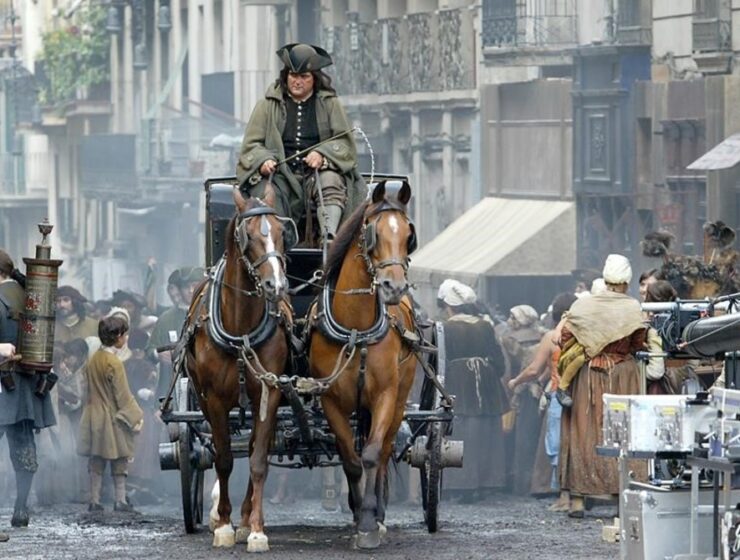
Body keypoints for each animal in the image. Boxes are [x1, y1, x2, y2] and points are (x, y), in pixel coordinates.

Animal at [181, 187, 294, 552]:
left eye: (281, 232)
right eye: (248, 237)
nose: (276, 286)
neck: (241, 327)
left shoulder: (269, 394)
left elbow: (258, 461)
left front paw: (254, 528)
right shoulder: (213, 399)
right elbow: (225, 459)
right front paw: (224, 524)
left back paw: (246, 518)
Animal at [308, 182, 422, 548]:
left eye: (408, 235)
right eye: (373, 233)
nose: (393, 286)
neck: (356, 328)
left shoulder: (385, 394)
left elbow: (371, 455)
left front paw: (371, 522)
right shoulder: (330, 400)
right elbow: (351, 459)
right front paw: (359, 514)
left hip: (400, 396)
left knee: (384, 450)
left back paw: (380, 513)